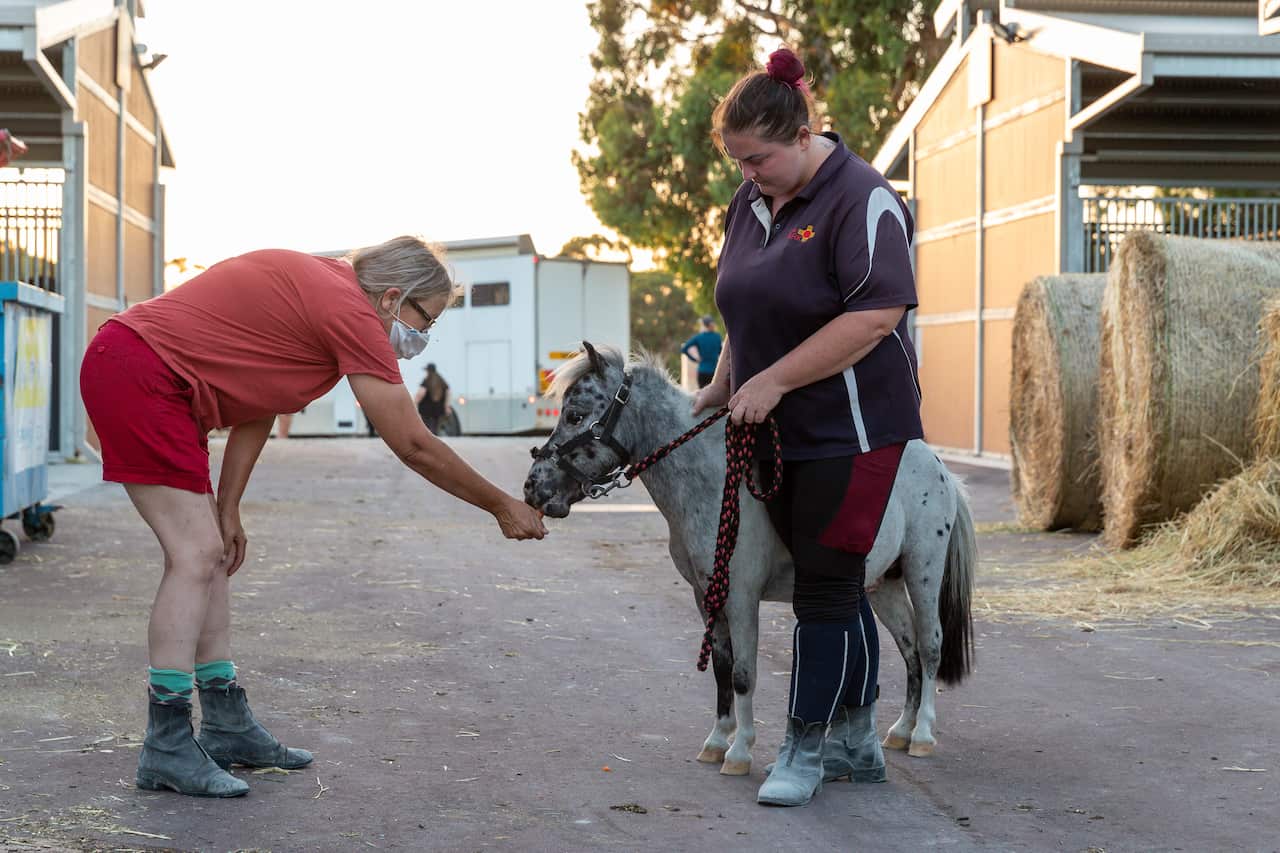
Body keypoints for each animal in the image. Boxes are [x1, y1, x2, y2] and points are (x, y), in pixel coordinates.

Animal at [523, 343, 976, 776]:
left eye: (576, 414)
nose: (533, 488)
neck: (715, 483)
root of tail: (940, 470)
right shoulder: (707, 596)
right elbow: (723, 668)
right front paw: (716, 741)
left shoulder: (740, 598)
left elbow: (743, 674)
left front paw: (739, 751)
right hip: (884, 585)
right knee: (910, 649)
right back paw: (900, 730)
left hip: (922, 571)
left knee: (930, 646)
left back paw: (922, 734)